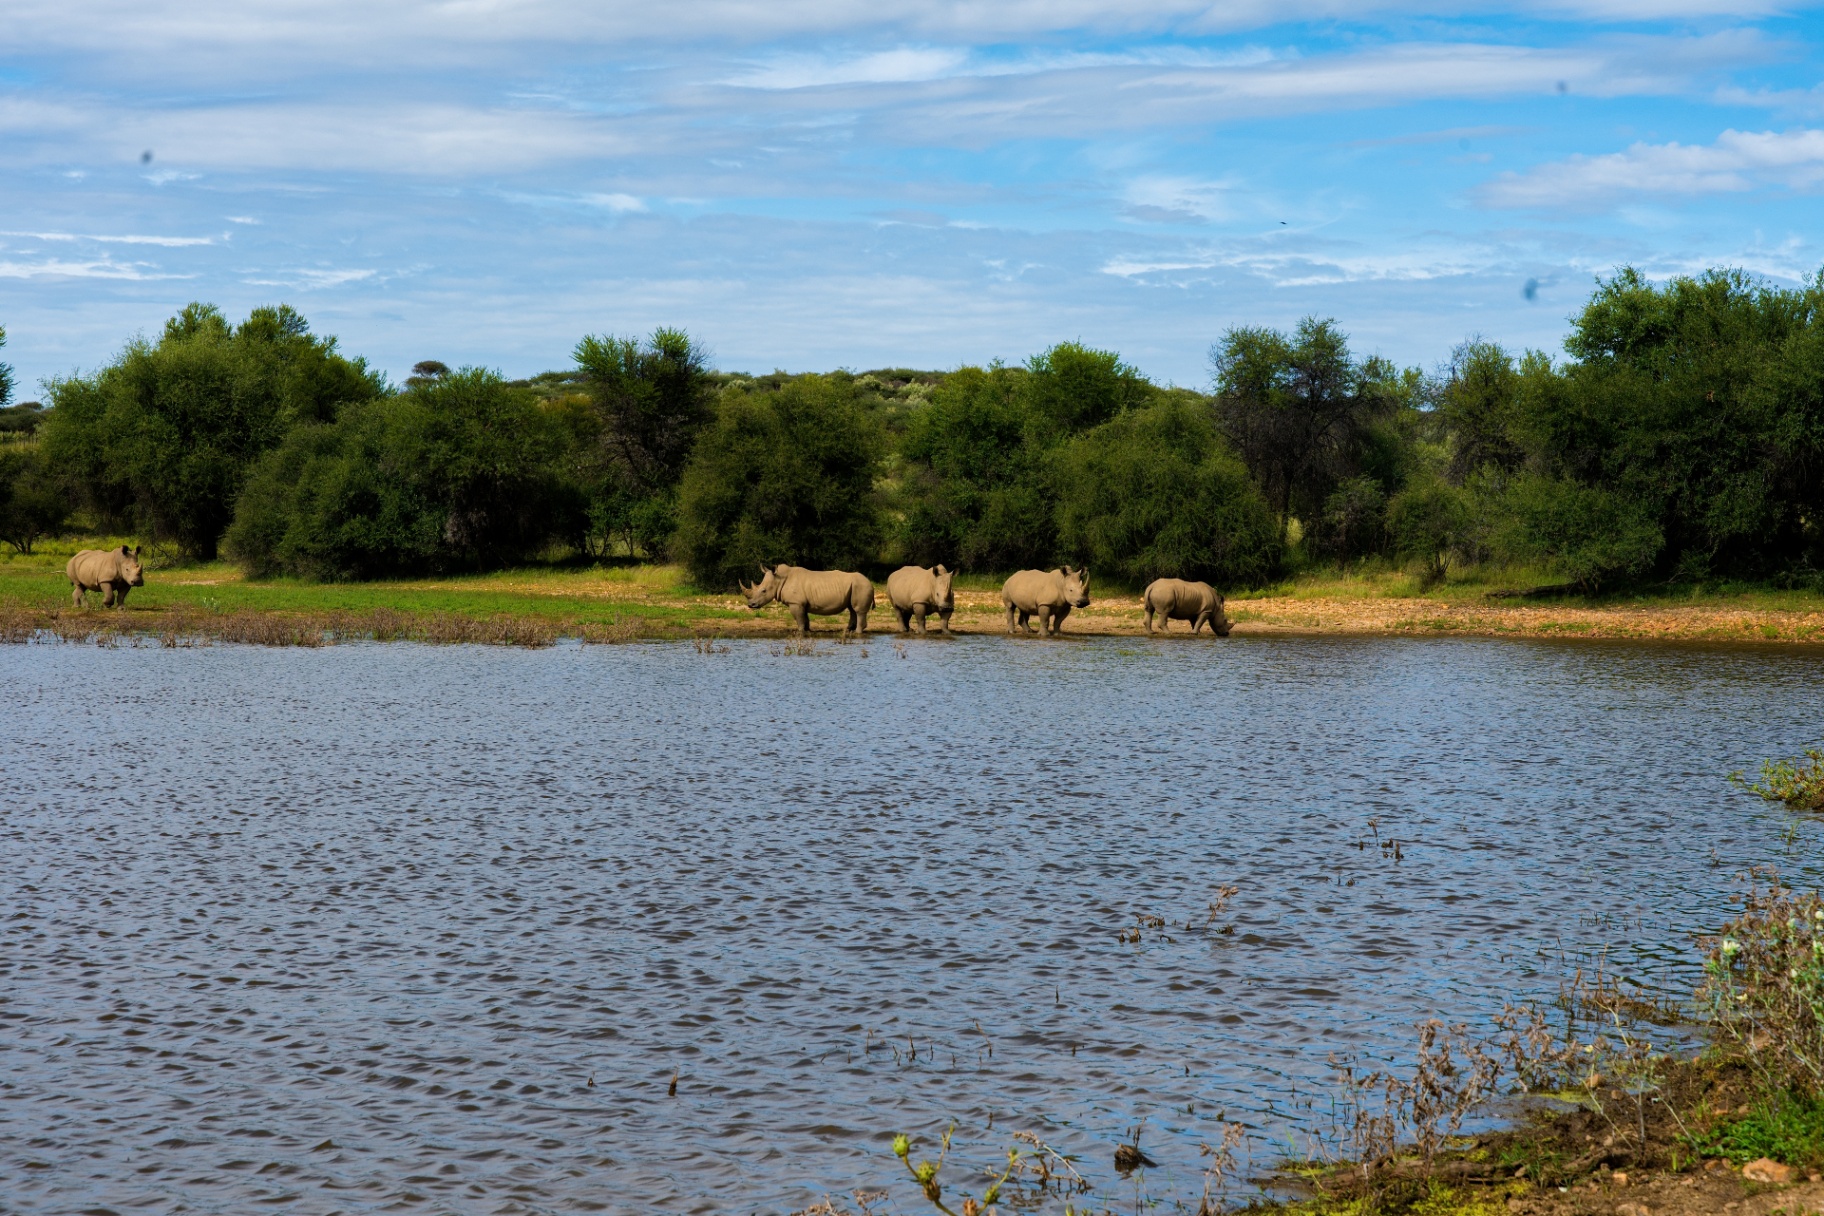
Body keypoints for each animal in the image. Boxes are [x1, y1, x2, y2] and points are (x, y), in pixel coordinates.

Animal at [740, 564, 876, 635]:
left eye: (763, 591)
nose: (751, 605)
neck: (779, 579)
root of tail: (871, 583)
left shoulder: (795, 603)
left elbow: (799, 619)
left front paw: (799, 632)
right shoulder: (801, 603)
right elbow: (805, 618)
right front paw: (807, 631)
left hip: (861, 586)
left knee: (858, 610)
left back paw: (857, 632)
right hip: (855, 586)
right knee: (852, 608)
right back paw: (848, 631)